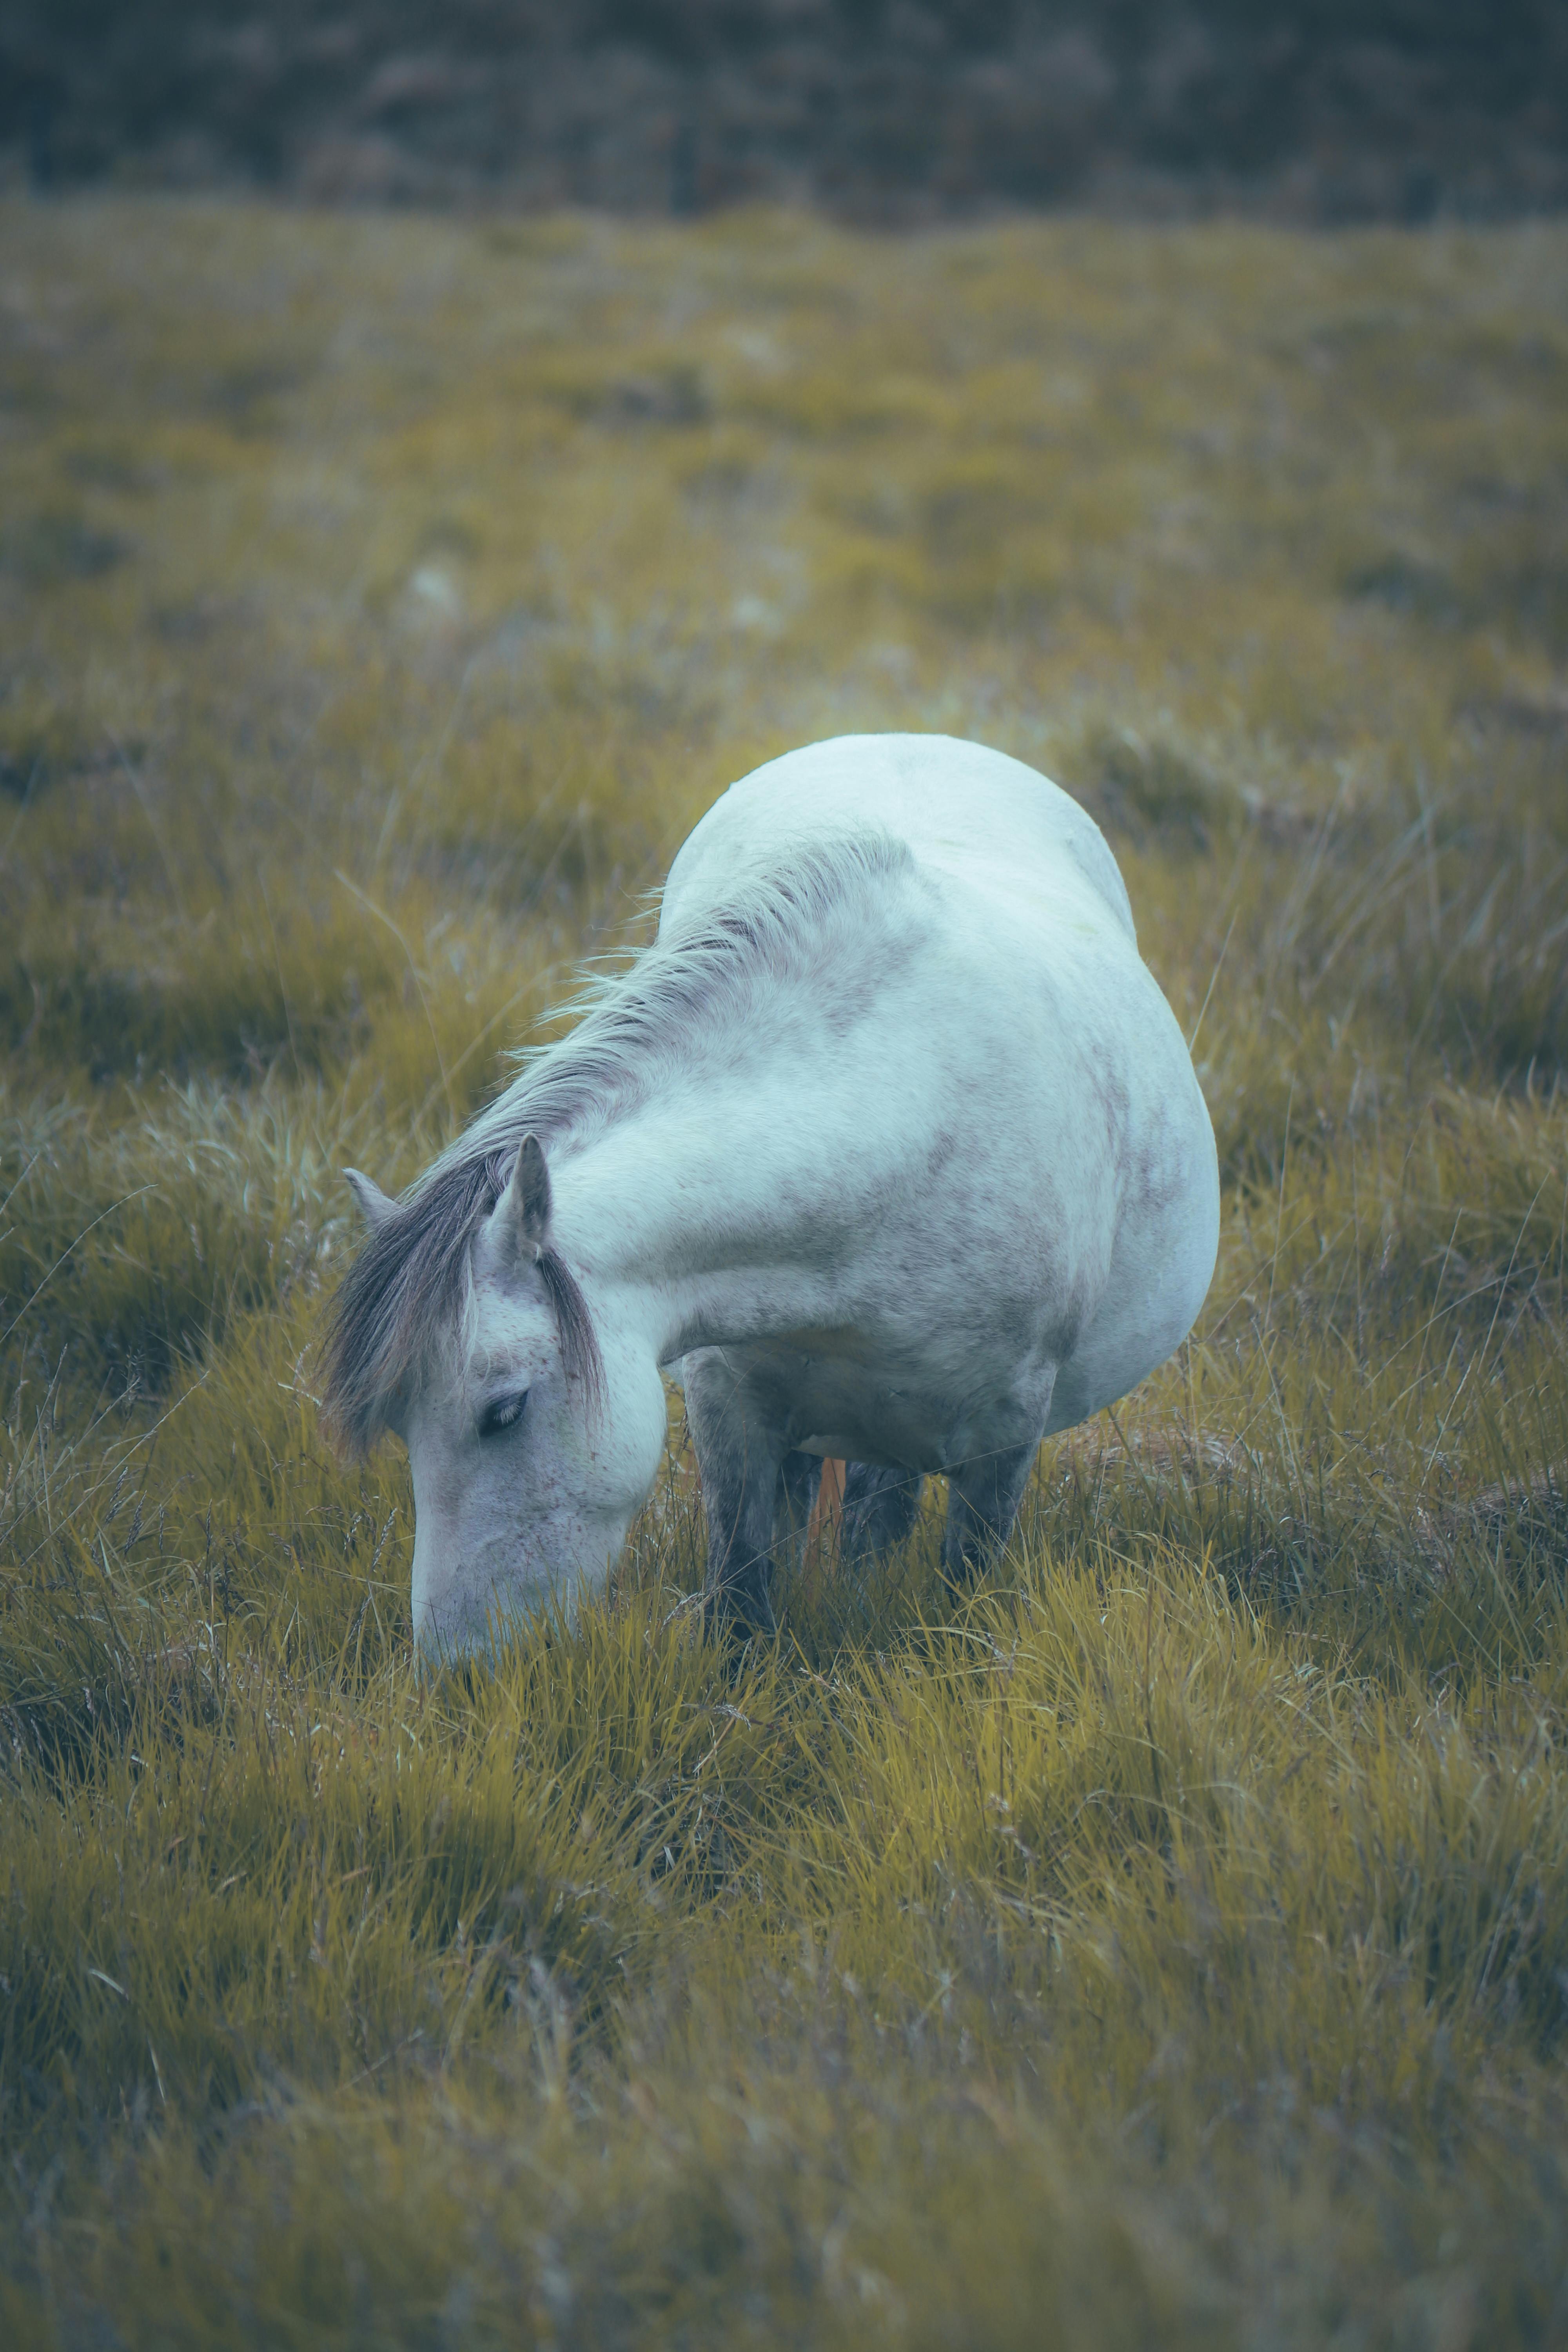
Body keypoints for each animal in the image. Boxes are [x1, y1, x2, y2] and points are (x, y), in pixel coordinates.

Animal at [324, 734, 1222, 1656]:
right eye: (399, 1425)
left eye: (502, 1414)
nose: (458, 1671)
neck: (896, 1124)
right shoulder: (730, 1411)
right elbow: (744, 1598)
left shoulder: (1002, 1439)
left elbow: (962, 1592)